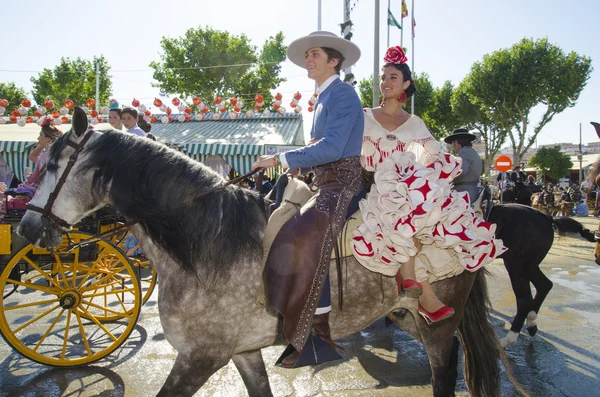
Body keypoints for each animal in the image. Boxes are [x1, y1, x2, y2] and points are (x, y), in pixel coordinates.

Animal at [21, 106, 510, 394]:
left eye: (52, 164)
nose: (26, 227)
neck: (205, 243)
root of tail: (471, 217)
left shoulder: (200, 358)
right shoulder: (243, 352)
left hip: (438, 327)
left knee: (444, 372)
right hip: (408, 315)